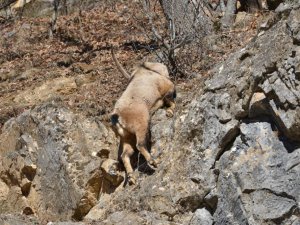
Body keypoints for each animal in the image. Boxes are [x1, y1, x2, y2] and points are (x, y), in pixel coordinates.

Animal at [110, 49, 176, 185]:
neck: (144, 71)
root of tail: (117, 116)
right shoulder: (167, 88)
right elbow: (170, 101)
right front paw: (169, 112)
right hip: (141, 125)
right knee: (140, 145)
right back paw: (153, 162)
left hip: (126, 137)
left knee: (125, 154)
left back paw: (131, 177)